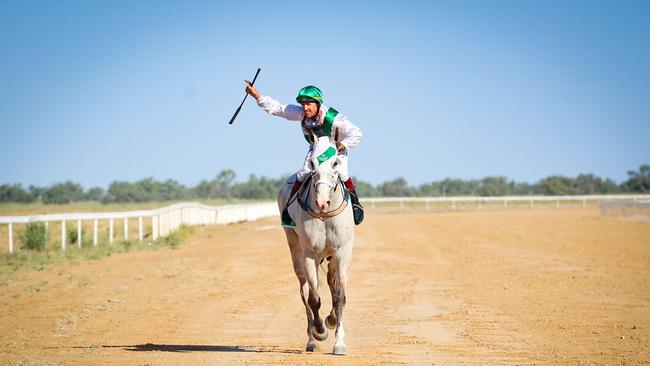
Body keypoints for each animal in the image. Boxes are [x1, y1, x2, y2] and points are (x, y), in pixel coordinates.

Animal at [274, 140, 352, 354]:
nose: (322, 202)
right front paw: (320, 331)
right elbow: (313, 298)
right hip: (296, 251)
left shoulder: (342, 252)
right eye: (312, 164)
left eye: (335, 163)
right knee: (304, 291)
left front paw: (339, 342)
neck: (325, 215)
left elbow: (339, 296)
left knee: (331, 283)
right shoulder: (310, 254)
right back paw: (311, 340)